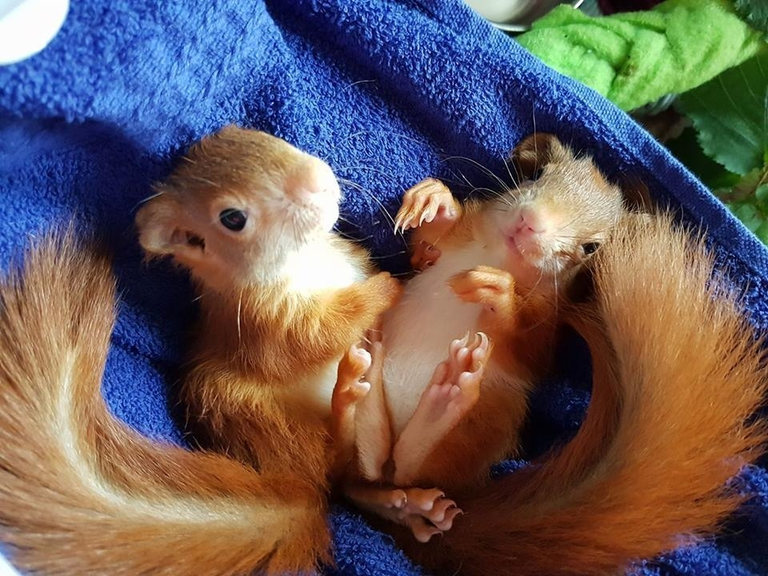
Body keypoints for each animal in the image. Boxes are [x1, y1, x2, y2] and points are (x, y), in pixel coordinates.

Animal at [0, 127, 765, 576]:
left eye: (590, 249)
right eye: (533, 183)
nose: (529, 228)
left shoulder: (544, 334)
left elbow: (529, 337)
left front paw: (496, 295)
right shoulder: (274, 318)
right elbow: (412, 260)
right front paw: (428, 212)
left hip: (483, 419)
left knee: (410, 460)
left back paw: (442, 407)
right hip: (322, 439)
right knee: (366, 465)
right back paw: (371, 420)